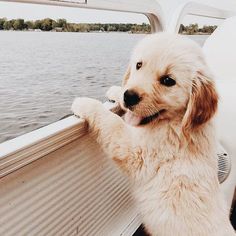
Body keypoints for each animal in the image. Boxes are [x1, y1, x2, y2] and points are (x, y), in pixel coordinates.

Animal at [71, 33, 235, 236]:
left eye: (168, 81)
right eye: (139, 65)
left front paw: (84, 104)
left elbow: (111, 122)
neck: (177, 120)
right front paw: (116, 90)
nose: (129, 97)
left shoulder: (136, 151)